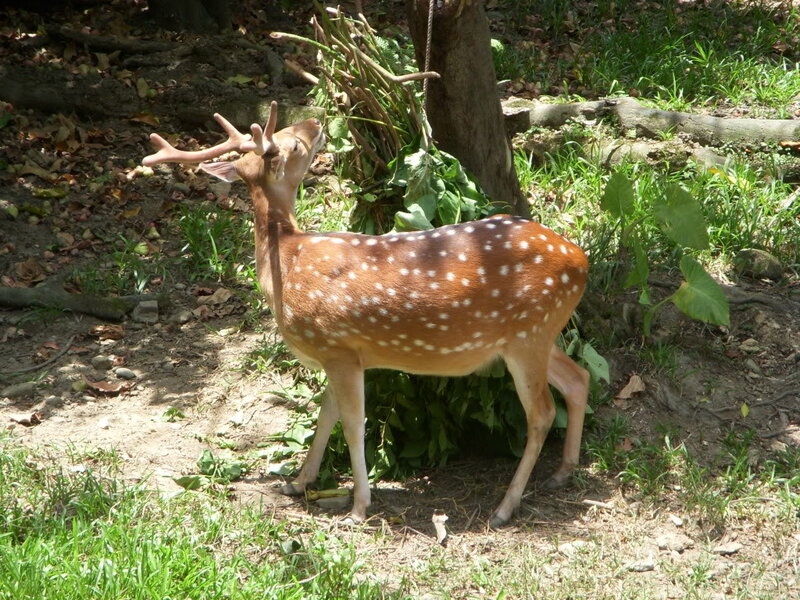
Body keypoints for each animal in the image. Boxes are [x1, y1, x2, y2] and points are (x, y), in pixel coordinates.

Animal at [143, 101, 590, 529]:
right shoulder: (338, 354)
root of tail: (581, 260)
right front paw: (299, 482)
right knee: (578, 378)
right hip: (535, 334)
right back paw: (562, 473)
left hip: (528, 334)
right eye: (294, 144)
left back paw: (504, 507)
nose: (314, 122)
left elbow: (354, 426)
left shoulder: (337, 347)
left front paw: (358, 507)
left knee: (542, 413)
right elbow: (327, 417)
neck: (287, 261)